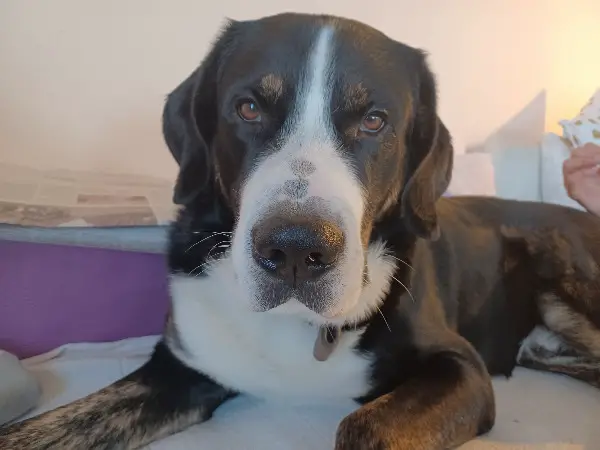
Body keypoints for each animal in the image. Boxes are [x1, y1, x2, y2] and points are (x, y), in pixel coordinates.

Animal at [2, 12, 600, 450]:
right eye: (247, 108)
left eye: (375, 120)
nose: (295, 249)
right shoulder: (179, 367)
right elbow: (44, 428)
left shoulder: (459, 368)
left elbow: (365, 426)